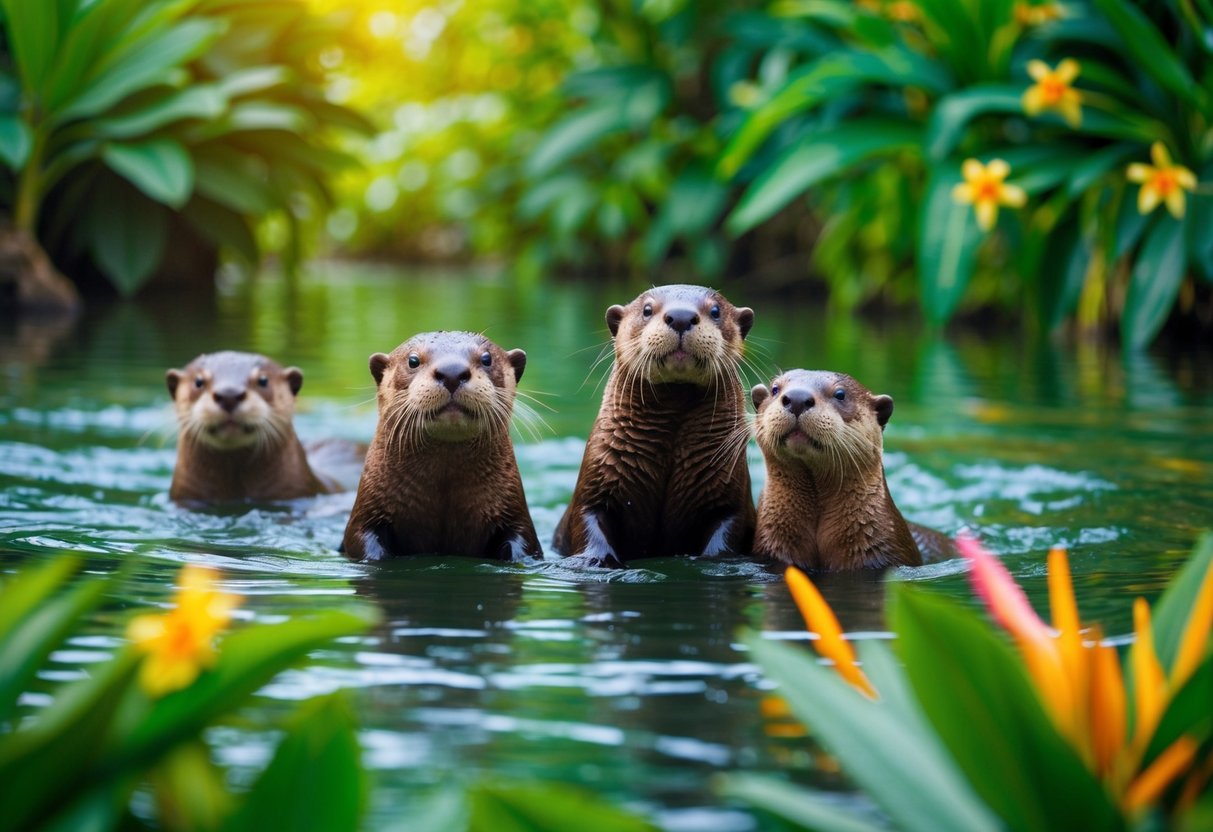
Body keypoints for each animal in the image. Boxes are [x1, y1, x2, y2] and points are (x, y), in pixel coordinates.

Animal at [552, 284, 756, 567]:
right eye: (648, 309)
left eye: (715, 311)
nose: (680, 316)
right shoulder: (596, 483)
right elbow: (589, 517)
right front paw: (596, 559)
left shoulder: (730, 493)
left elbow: (728, 528)